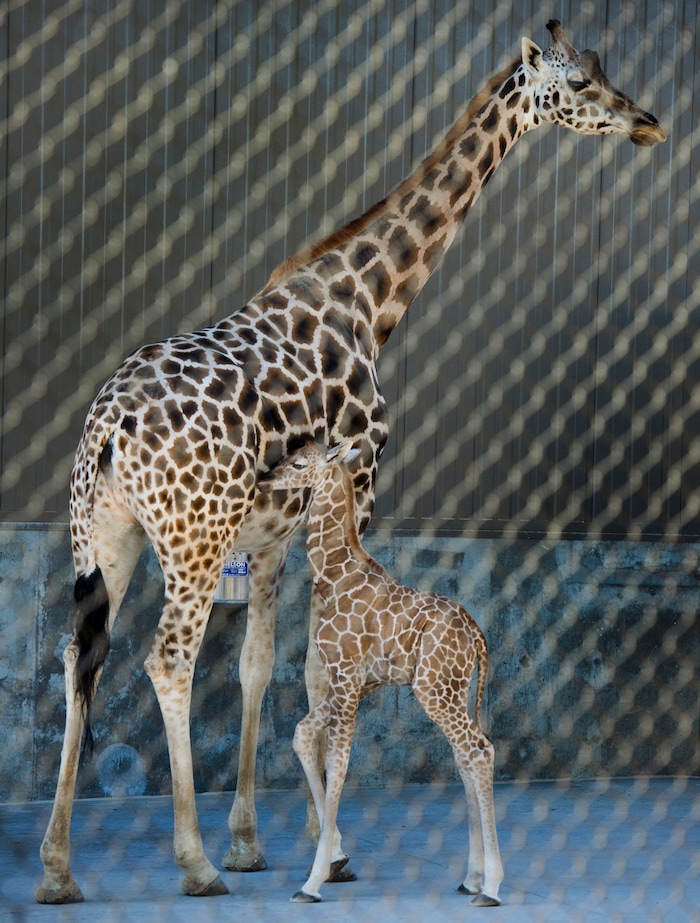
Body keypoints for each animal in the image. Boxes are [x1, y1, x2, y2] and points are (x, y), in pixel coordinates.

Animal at [258, 440, 502, 906]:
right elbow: (301, 734)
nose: (265, 479)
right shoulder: (359, 682)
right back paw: (472, 878)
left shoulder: (347, 675)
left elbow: (338, 765)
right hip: (453, 689)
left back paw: (494, 886)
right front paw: (335, 857)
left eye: (297, 463)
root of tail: (476, 635)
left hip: (434, 689)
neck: (333, 576)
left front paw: (313, 881)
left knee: (479, 751)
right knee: (467, 756)